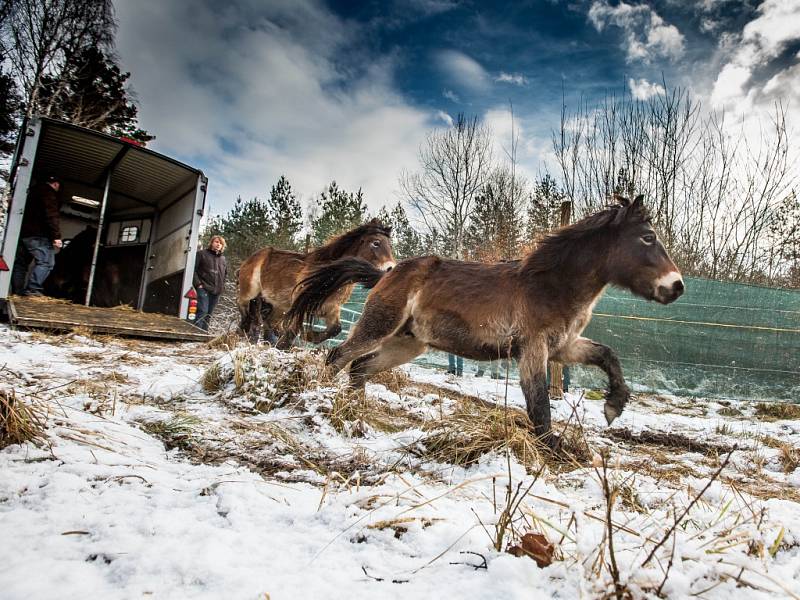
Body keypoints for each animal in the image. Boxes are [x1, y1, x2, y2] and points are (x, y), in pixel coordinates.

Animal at [236, 218, 396, 346]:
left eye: (390, 245)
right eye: (376, 243)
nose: (391, 268)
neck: (330, 277)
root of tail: (252, 257)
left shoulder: (332, 308)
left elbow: (335, 329)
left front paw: (308, 336)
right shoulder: (302, 303)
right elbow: (294, 329)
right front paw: (287, 343)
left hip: (279, 305)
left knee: (269, 322)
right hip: (250, 291)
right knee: (243, 306)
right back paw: (244, 329)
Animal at [284, 197, 684, 446]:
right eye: (648, 237)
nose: (676, 286)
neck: (550, 284)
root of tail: (387, 273)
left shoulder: (564, 347)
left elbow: (607, 355)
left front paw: (614, 407)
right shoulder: (533, 348)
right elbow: (539, 401)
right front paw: (554, 445)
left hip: (407, 343)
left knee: (360, 368)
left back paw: (356, 413)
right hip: (379, 327)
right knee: (338, 357)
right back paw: (319, 402)